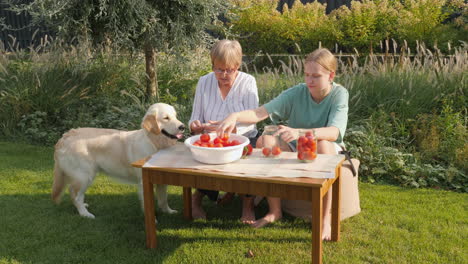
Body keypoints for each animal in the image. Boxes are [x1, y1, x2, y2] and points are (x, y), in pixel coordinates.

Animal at [51, 103, 183, 219]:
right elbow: (148, 206)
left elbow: (163, 199)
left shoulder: (161, 179)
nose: (182, 127)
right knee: (75, 194)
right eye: (166, 118)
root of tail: (65, 136)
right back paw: (85, 214)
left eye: (175, 116)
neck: (154, 142)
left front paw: (168, 211)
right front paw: (154, 219)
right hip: (85, 176)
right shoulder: (143, 182)